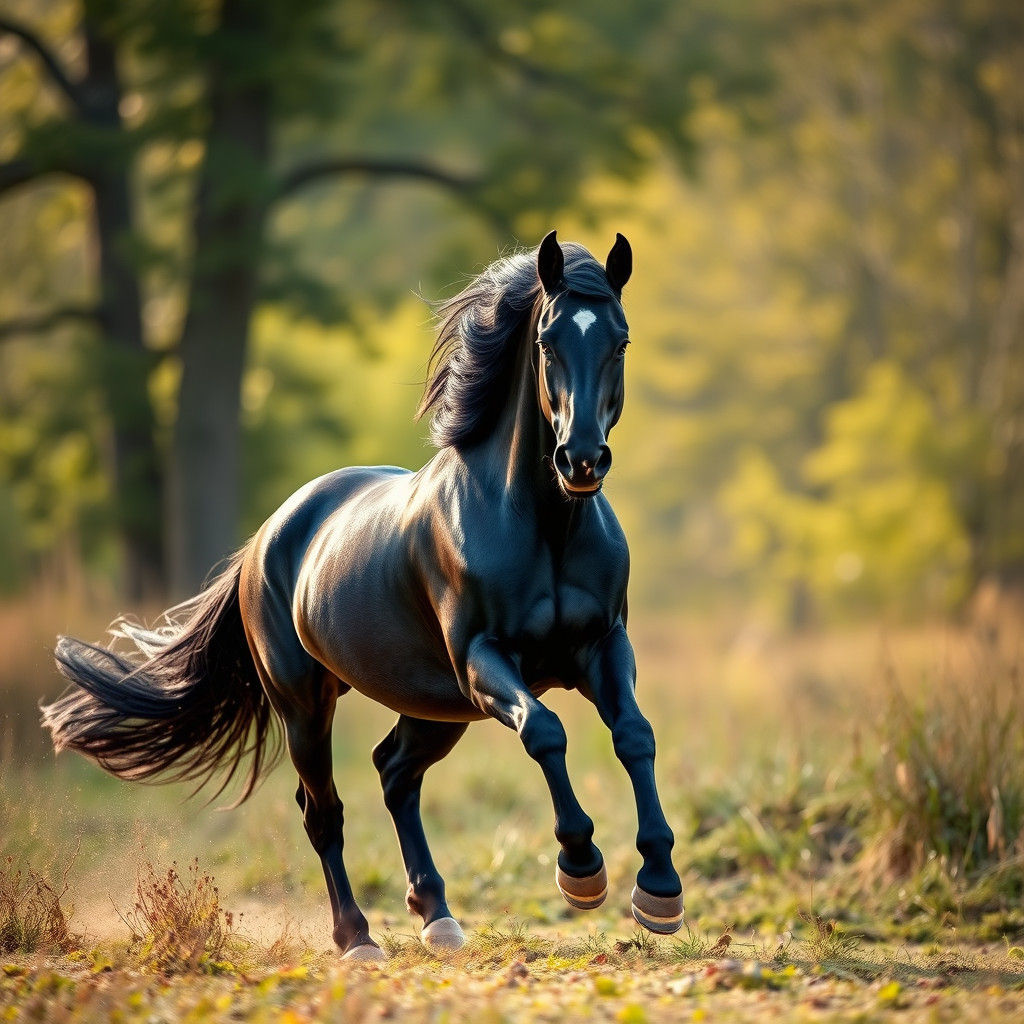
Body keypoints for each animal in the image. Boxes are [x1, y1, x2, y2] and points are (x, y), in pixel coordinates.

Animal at [42, 231, 684, 962]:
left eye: (620, 341)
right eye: (548, 341)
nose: (581, 460)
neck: (543, 523)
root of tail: (261, 544)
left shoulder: (603, 648)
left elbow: (634, 735)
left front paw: (660, 889)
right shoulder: (485, 661)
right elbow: (545, 732)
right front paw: (581, 869)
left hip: (435, 705)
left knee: (394, 772)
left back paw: (437, 917)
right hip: (307, 704)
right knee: (323, 811)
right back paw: (357, 938)